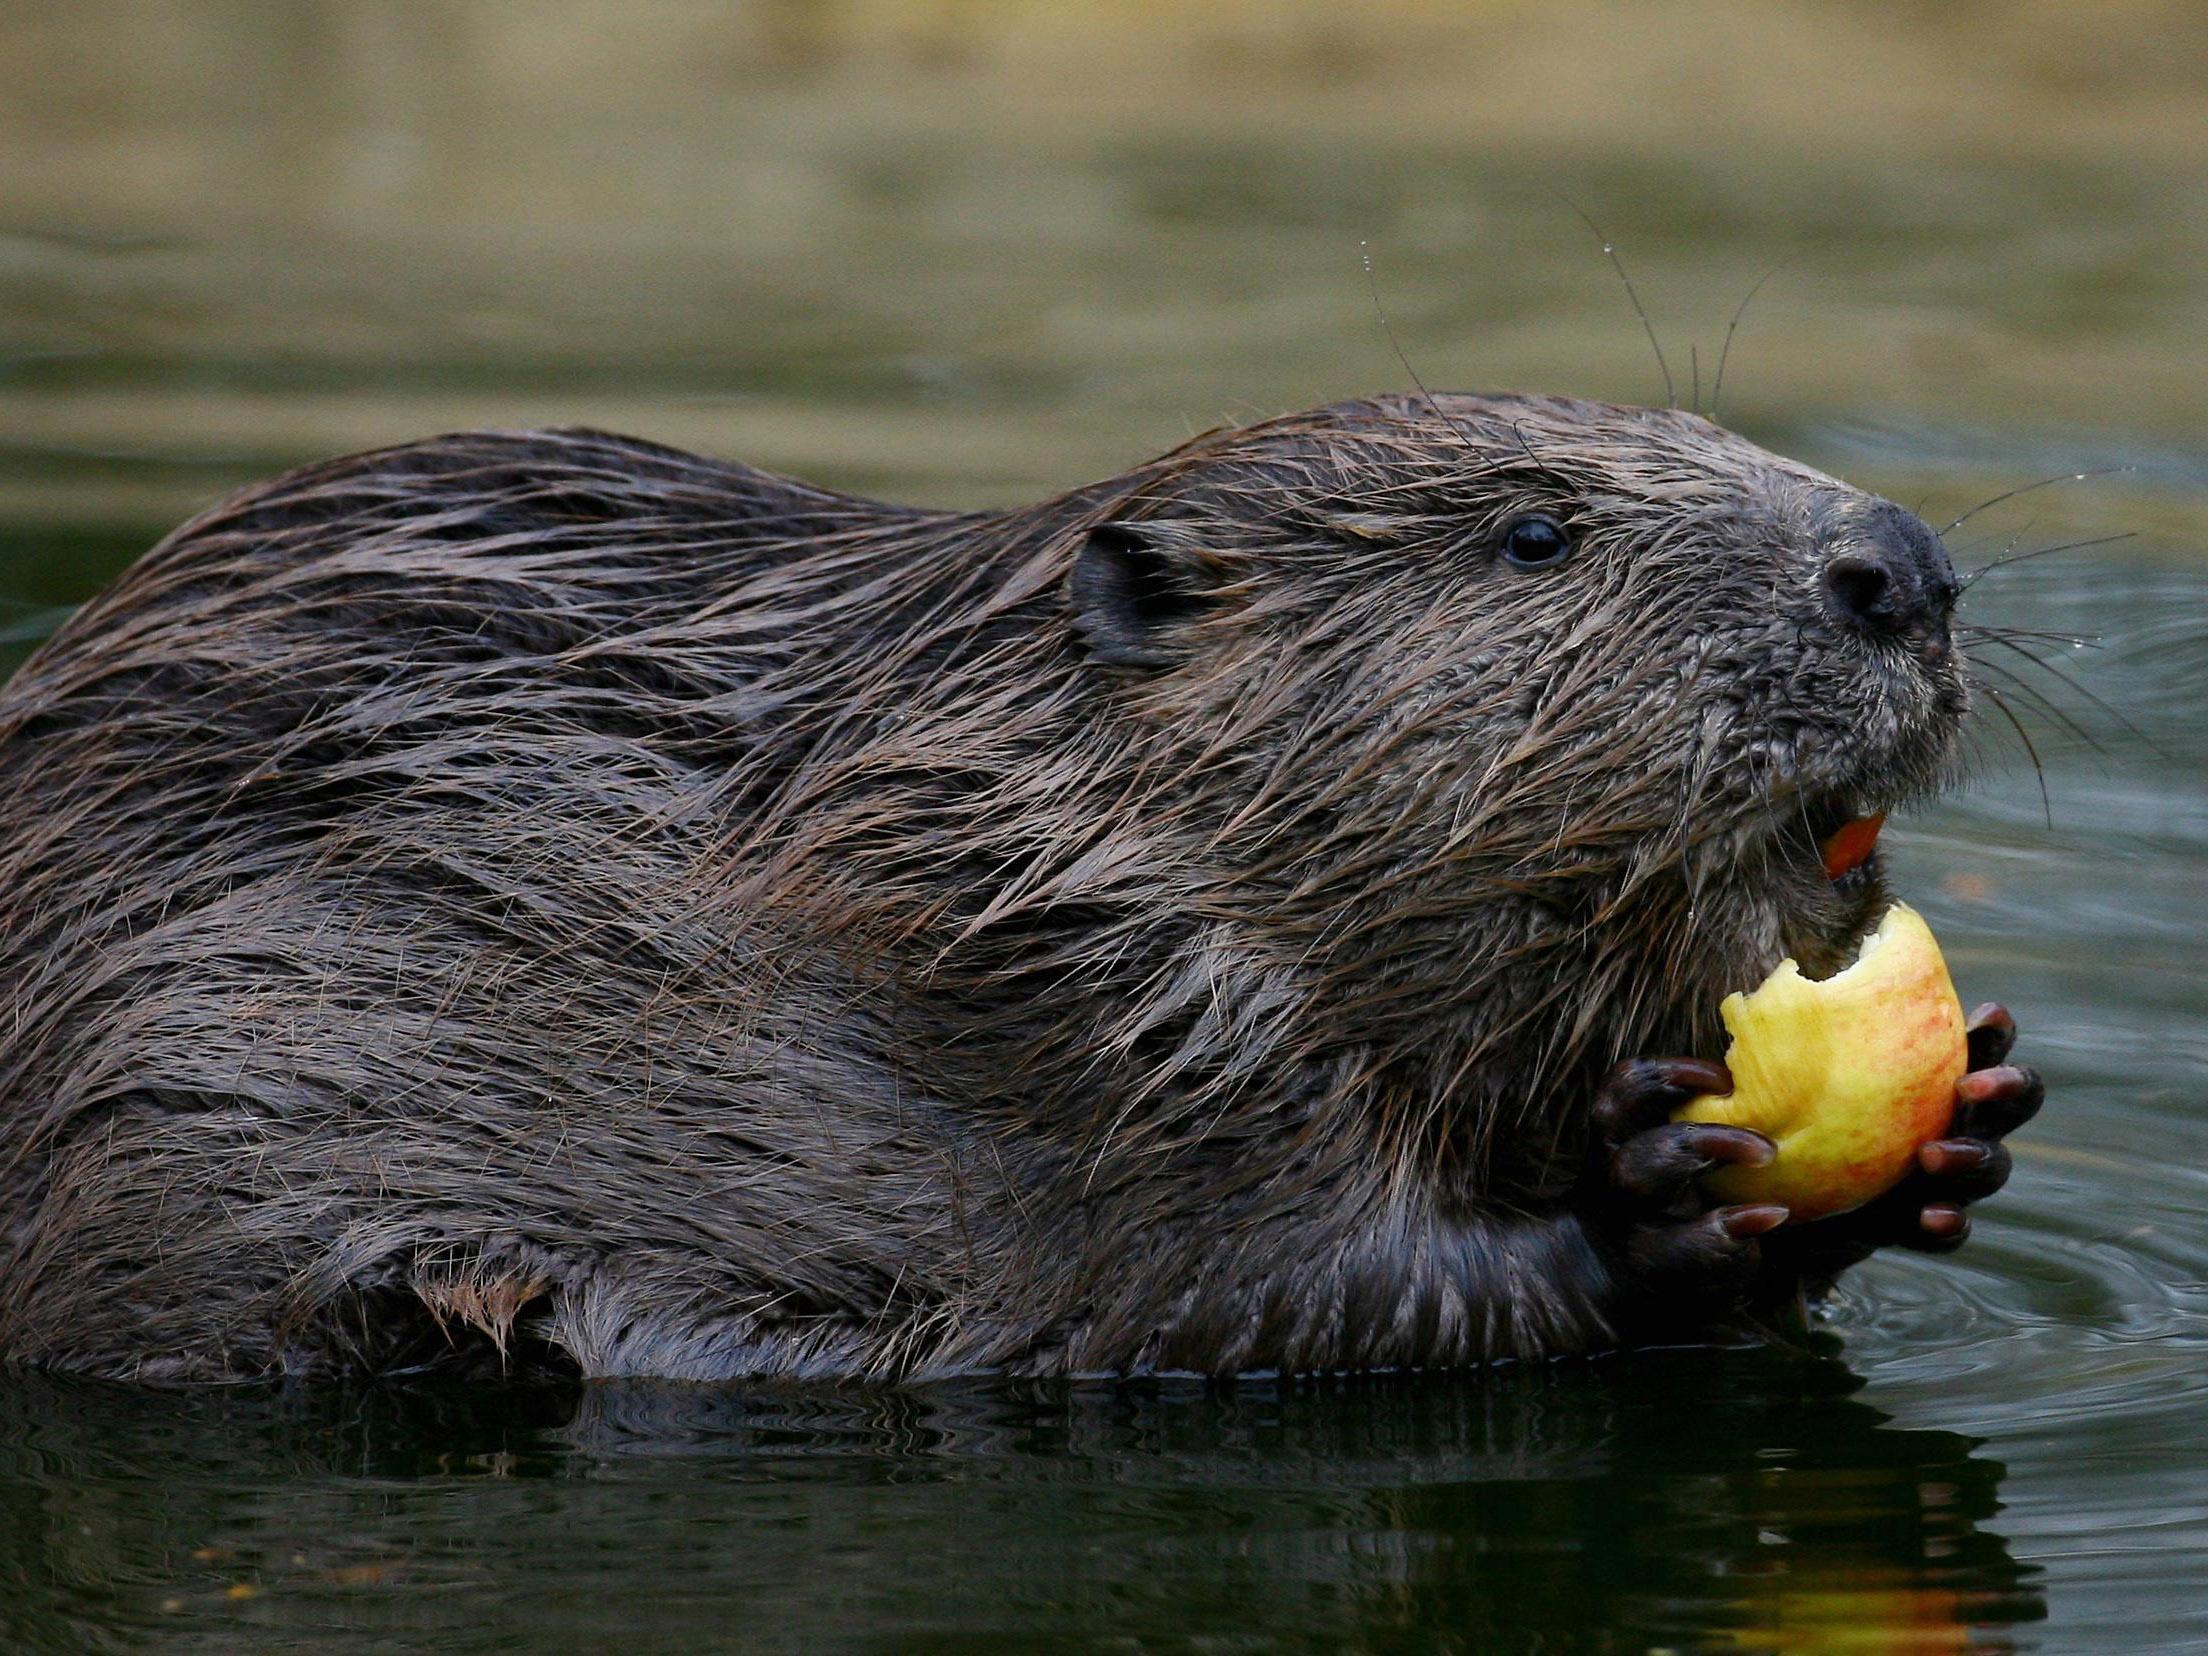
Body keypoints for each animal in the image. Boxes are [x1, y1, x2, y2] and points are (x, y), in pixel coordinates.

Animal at [0, 395, 2040, 1377]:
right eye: (1535, 533)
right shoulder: (1104, 1050)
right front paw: (1651, 1194)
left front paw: (1967, 1121)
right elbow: (1281, 1289)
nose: (1900, 566)